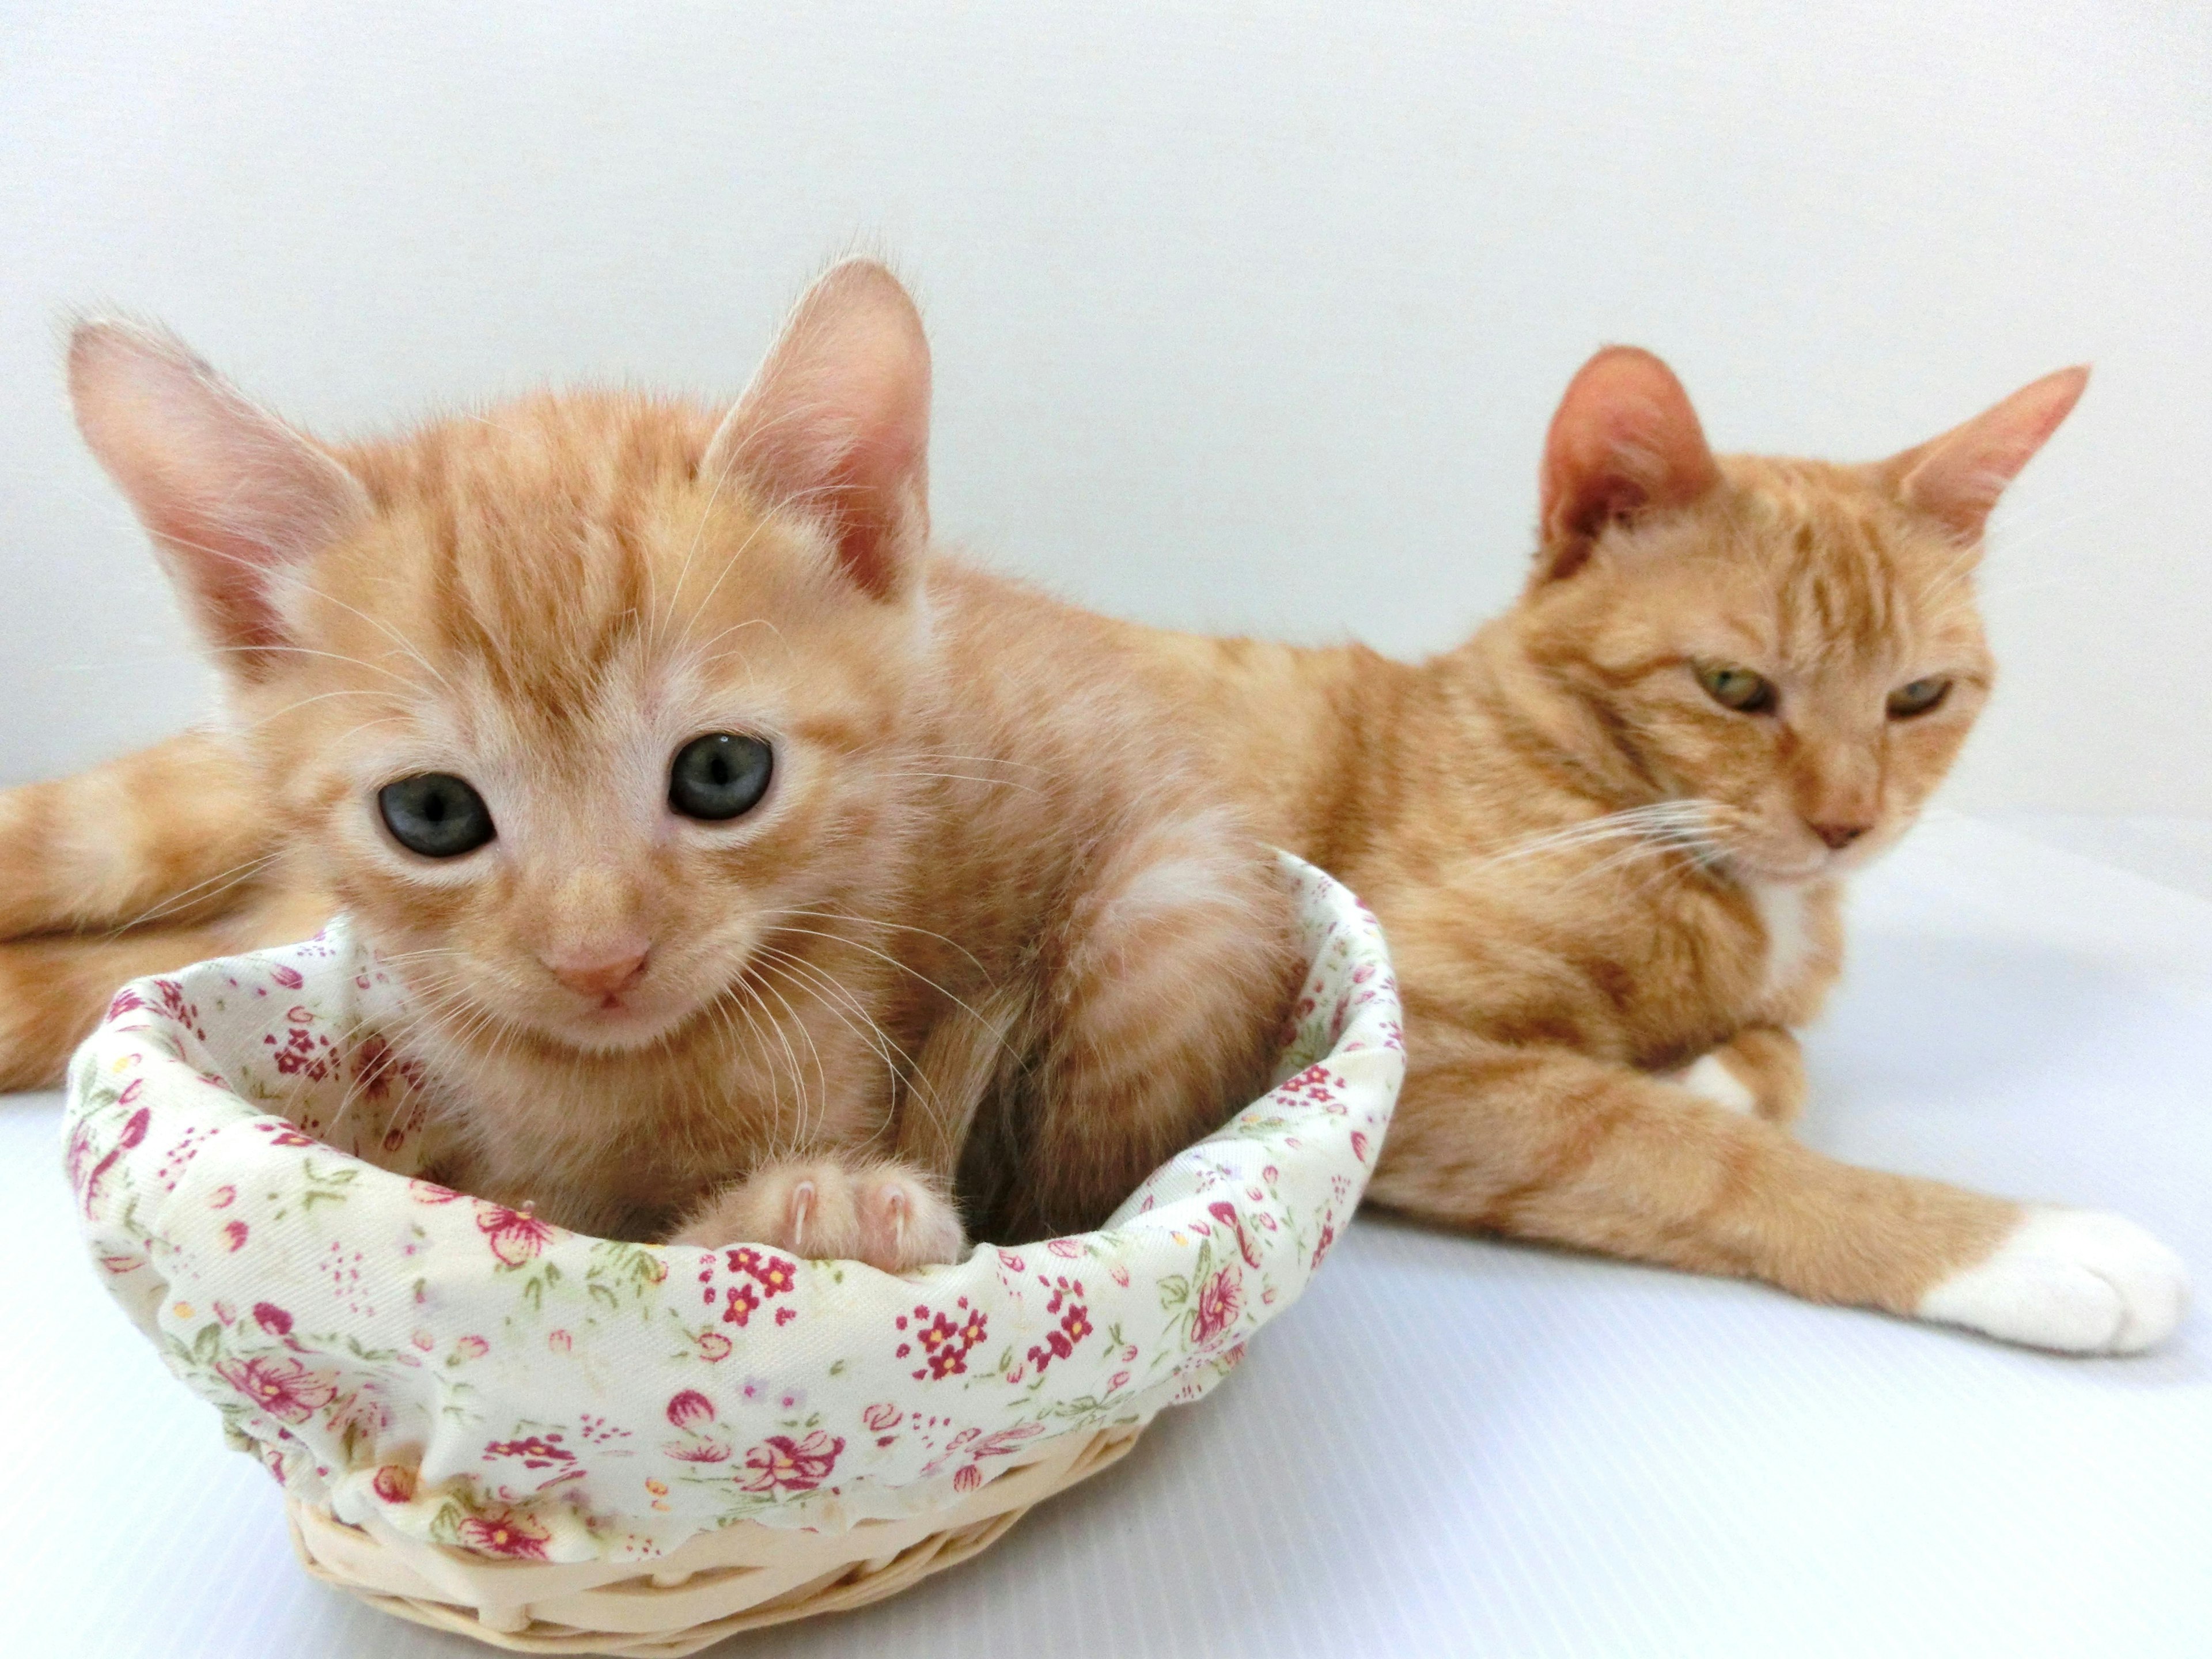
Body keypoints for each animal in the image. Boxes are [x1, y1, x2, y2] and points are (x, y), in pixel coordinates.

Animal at [0, 273, 2176, 1354]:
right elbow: (1683, 1148)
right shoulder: (1442, 1050)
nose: (1846, 817)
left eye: (1922, 700)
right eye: (1736, 693)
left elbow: (1762, 1058)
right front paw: (2024, 1247)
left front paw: (1735, 1056)